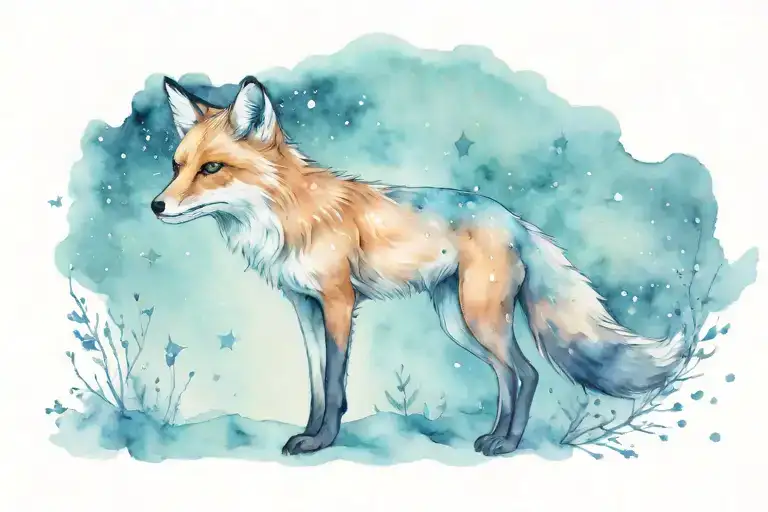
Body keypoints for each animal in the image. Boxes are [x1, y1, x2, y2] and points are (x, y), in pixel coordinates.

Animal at [152, 75, 690, 456]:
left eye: (212, 168)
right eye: (177, 166)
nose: (156, 206)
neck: (291, 215)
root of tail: (514, 219)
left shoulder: (339, 302)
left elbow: (335, 383)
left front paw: (323, 441)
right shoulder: (303, 307)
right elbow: (315, 385)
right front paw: (308, 433)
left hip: (480, 318)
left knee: (528, 373)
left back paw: (508, 444)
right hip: (458, 322)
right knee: (510, 376)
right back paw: (495, 437)